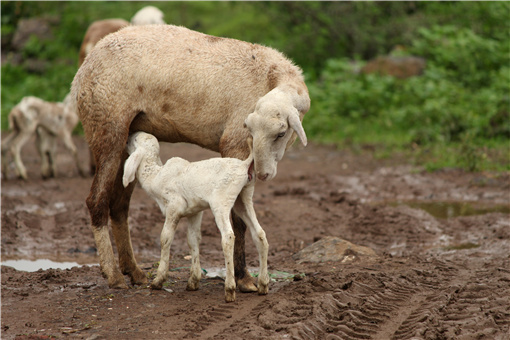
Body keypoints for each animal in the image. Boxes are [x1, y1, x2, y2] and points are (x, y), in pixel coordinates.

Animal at [123, 131, 268, 302]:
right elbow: (193, 240)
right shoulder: (195, 211)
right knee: (259, 234)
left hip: (222, 200)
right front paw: (193, 281)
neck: (154, 176)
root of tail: (244, 164)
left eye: (135, 140)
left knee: (228, 237)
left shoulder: (174, 206)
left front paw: (158, 280)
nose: (129, 136)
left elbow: (165, 238)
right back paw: (263, 285)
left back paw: (230, 289)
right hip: (244, 198)